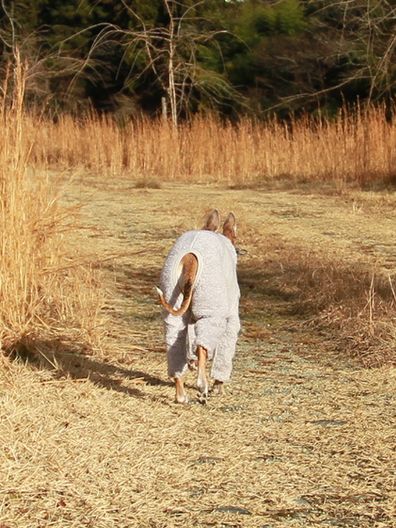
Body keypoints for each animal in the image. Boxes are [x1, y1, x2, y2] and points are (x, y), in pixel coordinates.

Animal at [156, 210, 240, 404]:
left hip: (175, 305)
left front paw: (191, 363)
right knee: (202, 347)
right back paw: (203, 388)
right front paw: (219, 385)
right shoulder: (230, 319)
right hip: (210, 311)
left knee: (175, 347)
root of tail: (189, 258)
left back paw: (181, 395)